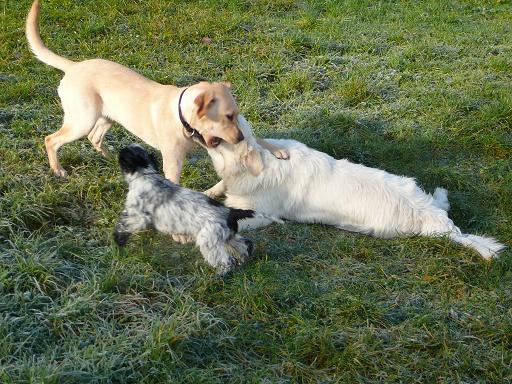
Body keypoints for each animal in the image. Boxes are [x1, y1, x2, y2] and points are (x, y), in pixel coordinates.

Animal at [26, 0, 286, 182]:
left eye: (237, 116)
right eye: (228, 116)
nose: (240, 137)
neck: (182, 117)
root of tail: (73, 66)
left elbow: (260, 139)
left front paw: (279, 150)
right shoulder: (174, 161)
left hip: (107, 117)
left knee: (95, 137)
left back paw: (112, 157)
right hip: (82, 120)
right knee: (52, 139)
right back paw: (58, 169)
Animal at [116, 143, 260, 272]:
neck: (146, 174)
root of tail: (231, 211)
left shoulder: (136, 214)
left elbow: (123, 226)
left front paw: (118, 242)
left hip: (209, 242)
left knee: (225, 261)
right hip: (227, 236)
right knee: (244, 244)